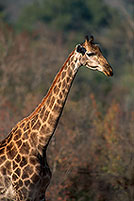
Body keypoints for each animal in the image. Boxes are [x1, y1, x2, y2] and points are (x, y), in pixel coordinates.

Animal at [0, 35, 113, 200]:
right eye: (90, 53)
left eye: (101, 50)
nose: (109, 70)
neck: (40, 143)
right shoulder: (21, 193)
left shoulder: (40, 193)